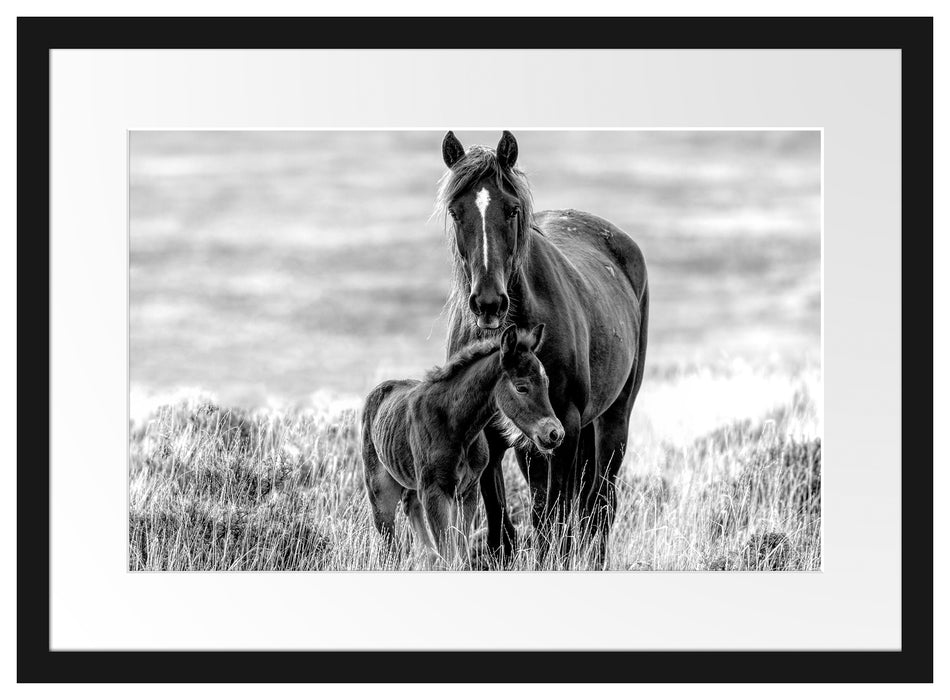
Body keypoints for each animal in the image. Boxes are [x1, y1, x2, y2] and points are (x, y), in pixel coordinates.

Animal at [360, 324, 560, 564]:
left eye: (546, 383)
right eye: (521, 388)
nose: (554, 433)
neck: (457, 428)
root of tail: (379, 391)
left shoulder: (467, 491)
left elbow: (460, 552)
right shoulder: (434, 492)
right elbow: (449, 552)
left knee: (410, 505)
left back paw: (428, 557)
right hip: (379, 487)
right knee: (387, 534)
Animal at [440, 133, 652, 568]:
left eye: (512, 209)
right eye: (455, 211)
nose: (488, 304)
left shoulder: (563, 427)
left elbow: (553, 521)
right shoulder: (491, 435)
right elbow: (502, 525)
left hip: (612, 420)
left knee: (598, 505)